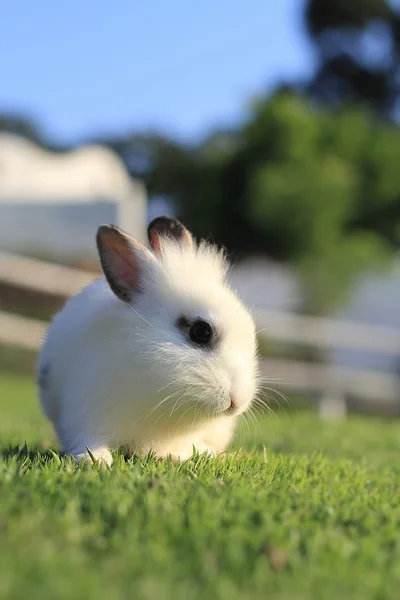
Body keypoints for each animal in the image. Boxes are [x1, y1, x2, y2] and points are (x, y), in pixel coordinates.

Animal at [37, 218, 260, 466]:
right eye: (201, 332)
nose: (238, 400)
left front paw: (185, 454)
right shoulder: (84, 412)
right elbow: (89, 440)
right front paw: (95, 460)